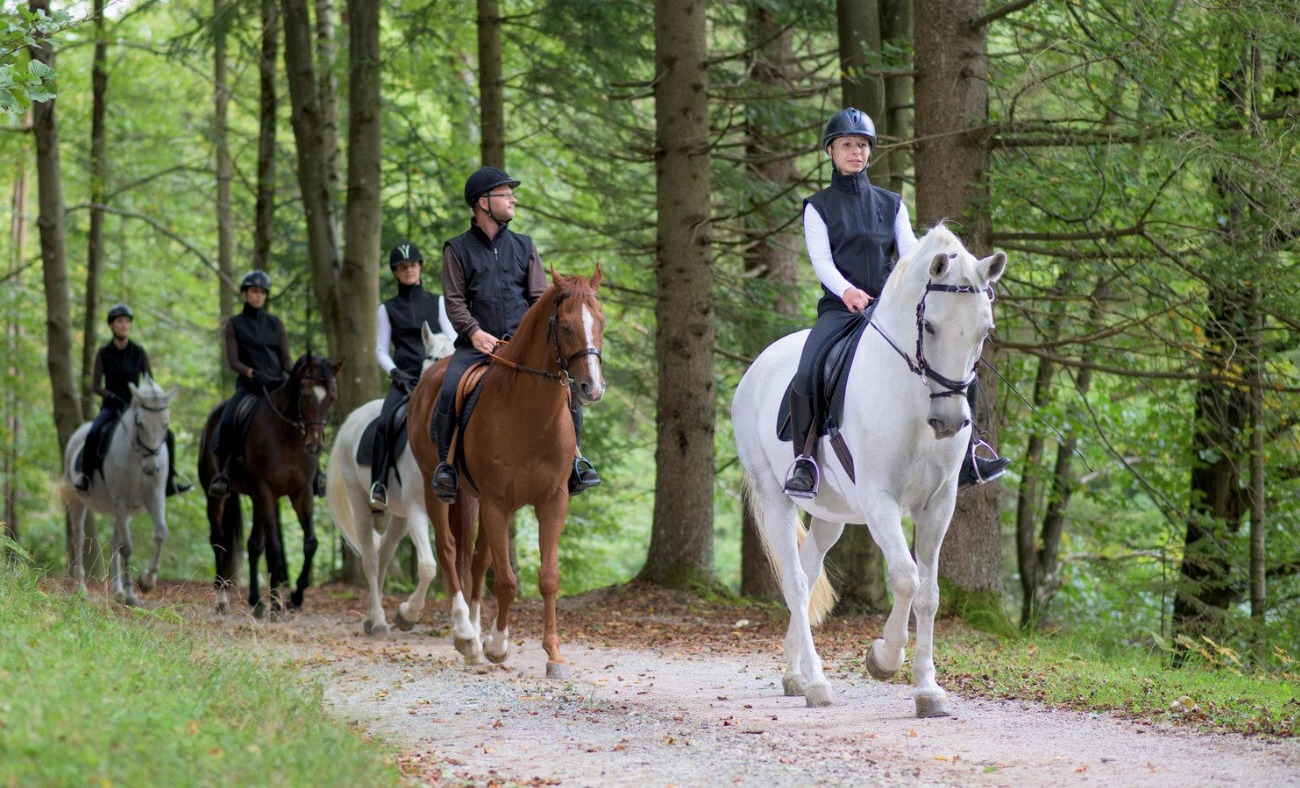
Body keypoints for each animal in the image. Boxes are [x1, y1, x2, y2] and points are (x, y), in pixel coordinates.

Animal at [60, 374, 177, 605]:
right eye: (140, 423)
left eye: (165, 424)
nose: (152, 468)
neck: (137, 457)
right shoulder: (121, 501)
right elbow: (127, 547)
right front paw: (132, 595)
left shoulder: (155, 499)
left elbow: (161, 533)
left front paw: (147, 581)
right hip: (80, 501)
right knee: (79, 537)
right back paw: (81, 588)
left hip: (120, 510)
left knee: (114, 541)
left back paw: (117, 591)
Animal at [197, 353, 342, 618]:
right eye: (305, 394)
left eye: (332, 398)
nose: (314, 445)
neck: (289, 436)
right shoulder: (267, 491)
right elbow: (274, 548)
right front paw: (276, 605)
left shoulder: (301, 494)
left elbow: (310, 543)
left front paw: (295, 597)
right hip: (217, 496)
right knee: (219, 540)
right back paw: (222, 599)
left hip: (255, 499)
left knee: (253, 544)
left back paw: (256, 602)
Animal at [326, 323, 471, 637]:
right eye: (432, 358)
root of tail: (352, 420)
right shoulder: (417, 509)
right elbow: (428, 566)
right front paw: (407, 614)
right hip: (361, 502)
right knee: (370, 557)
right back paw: (379, 621)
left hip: (400, 516)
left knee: (384, 554)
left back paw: (372, 618)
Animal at [408, 265, 606, 679]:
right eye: (565, 326)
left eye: (601, 322)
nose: (592, 389)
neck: (529, 414)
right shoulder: (497, 503)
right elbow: (506, 582)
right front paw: (497, 646)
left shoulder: (551, 501)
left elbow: (547, 578)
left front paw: (554, 655)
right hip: (439, 490)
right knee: (448, 550)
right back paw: (466, 635)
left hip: (475, 499)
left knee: (476, 558)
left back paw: (475, 634)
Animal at [731, 224, 1007, 718]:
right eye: (930, 326)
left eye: (985, 329)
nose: (949, 422)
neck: (914, 397)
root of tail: (756, 369)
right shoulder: (882, 502)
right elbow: (905, 578)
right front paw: (883, 658)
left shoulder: (939, 504)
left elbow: (929, 593)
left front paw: (928, 690)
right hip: (774, 496)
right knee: (795, 582)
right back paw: (817, 683)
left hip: (831, 515)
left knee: (807, 572)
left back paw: (795, 674)